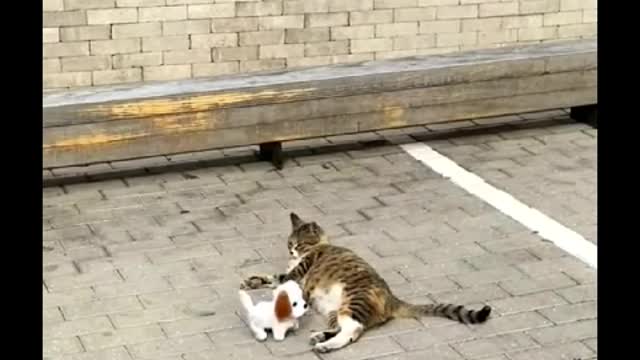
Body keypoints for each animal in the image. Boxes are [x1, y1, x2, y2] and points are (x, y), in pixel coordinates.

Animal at [242, 212, 492, 352]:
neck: (320, 245)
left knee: (353, 330)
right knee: (343, 328)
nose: (292, 251)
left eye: (300, 244)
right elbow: (271, 277)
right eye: (289, 243)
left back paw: (326, 345)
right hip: (334, 310)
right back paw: (321, 336)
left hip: (353, 301)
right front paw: (252, 281)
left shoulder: (299, 271)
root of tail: (392, 299)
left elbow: (281, 279)